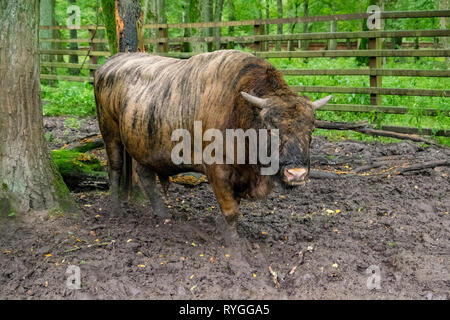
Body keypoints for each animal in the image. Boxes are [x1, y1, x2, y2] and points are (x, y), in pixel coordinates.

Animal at [94, 50, 330, 244]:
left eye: (311, 128)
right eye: (271, 127)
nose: (296, 173)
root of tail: (108, 64)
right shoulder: (218, 171)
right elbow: (231, 210)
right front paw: (234, 243)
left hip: (144, 145)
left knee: (145, 176)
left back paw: (164, 215)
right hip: (110, 133)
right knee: (115, 169)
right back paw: (116, 210)